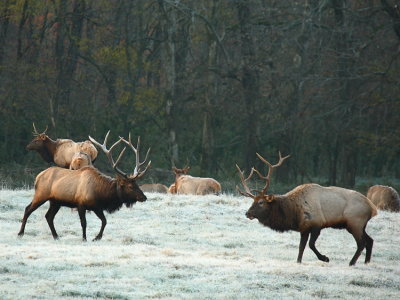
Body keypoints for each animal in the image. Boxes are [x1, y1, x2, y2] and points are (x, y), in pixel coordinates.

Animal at [18, 131, 151, 241]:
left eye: (136, 184)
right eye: (130, 186)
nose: (144, 197)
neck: (102, 194)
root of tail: (38, 177)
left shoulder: (97, 207)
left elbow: (104, 221)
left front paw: (97, 237)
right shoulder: (81, 204)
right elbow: (84, 223)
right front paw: (84, 238)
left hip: (55, 201)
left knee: (48, 216)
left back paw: (56, 236)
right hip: (41, 195)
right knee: (28, 209)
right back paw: (20, 233)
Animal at [238, 152, 378, 264]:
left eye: (261, 202)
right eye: (253, 201)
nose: (247, 213)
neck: (294, 212)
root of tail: (372, 208)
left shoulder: (317, 224)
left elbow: (311, 245)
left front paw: (325, 258)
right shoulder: (304, 228)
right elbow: (301, 247)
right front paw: (298, 262)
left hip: (354, 222)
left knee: (361, 243)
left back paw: (351, 263)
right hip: (359, 225)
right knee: (370, 240)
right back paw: (366, 262)